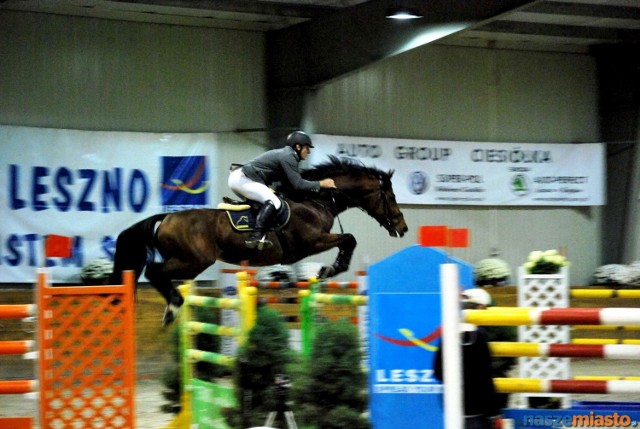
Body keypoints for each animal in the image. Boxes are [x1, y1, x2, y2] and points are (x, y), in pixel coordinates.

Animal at [110, 155, 408, 322]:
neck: (315, 200)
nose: (403, 227)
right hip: (193, 261)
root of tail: (165, 218)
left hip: (190, 262)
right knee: (154, 271)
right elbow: (349, 239)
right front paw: (329, 269)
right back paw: (173, 307)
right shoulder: (312, 242)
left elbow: (348, 240)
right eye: (390, 196)